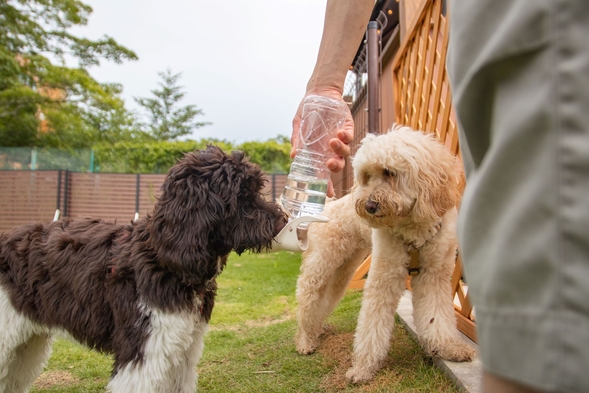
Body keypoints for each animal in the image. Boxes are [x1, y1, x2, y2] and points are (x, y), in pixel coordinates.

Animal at [0, 145, 284, 390]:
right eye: (241, 196)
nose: (282, 220)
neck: (163, 258)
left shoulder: (184, 349)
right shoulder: (143, 351)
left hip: (27, 343)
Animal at [296, 126, 476, 382]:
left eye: (388, 172)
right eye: (366, 176)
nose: (368, 206)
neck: (412, 228)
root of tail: (329, 205)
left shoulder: (434, 276)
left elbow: (436, 316)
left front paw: (449, 347)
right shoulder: (384, 277)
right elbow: (372, 325)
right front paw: (363, 367)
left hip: (343, 271)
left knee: (325, 301)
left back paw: (316, 330)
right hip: (320, 265)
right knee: (308, 301)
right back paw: (304, 341)